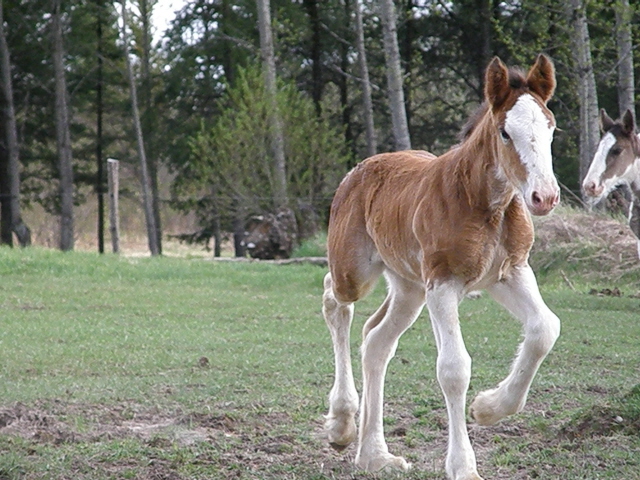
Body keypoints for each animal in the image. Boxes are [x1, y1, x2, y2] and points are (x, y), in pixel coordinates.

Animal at [320, 54, 560, 480]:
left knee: (376, 340)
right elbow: (454, 368)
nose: (544, 197)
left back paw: (375, 456)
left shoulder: (509, 273)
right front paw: (464, 466)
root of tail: (358, 169)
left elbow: (545, 328)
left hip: (409, 287)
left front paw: (488, 407)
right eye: (505, 133)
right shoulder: (443, 283)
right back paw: (341, 424)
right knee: (335, 298)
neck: (486, 204)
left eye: (551, 129)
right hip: (358, 271)